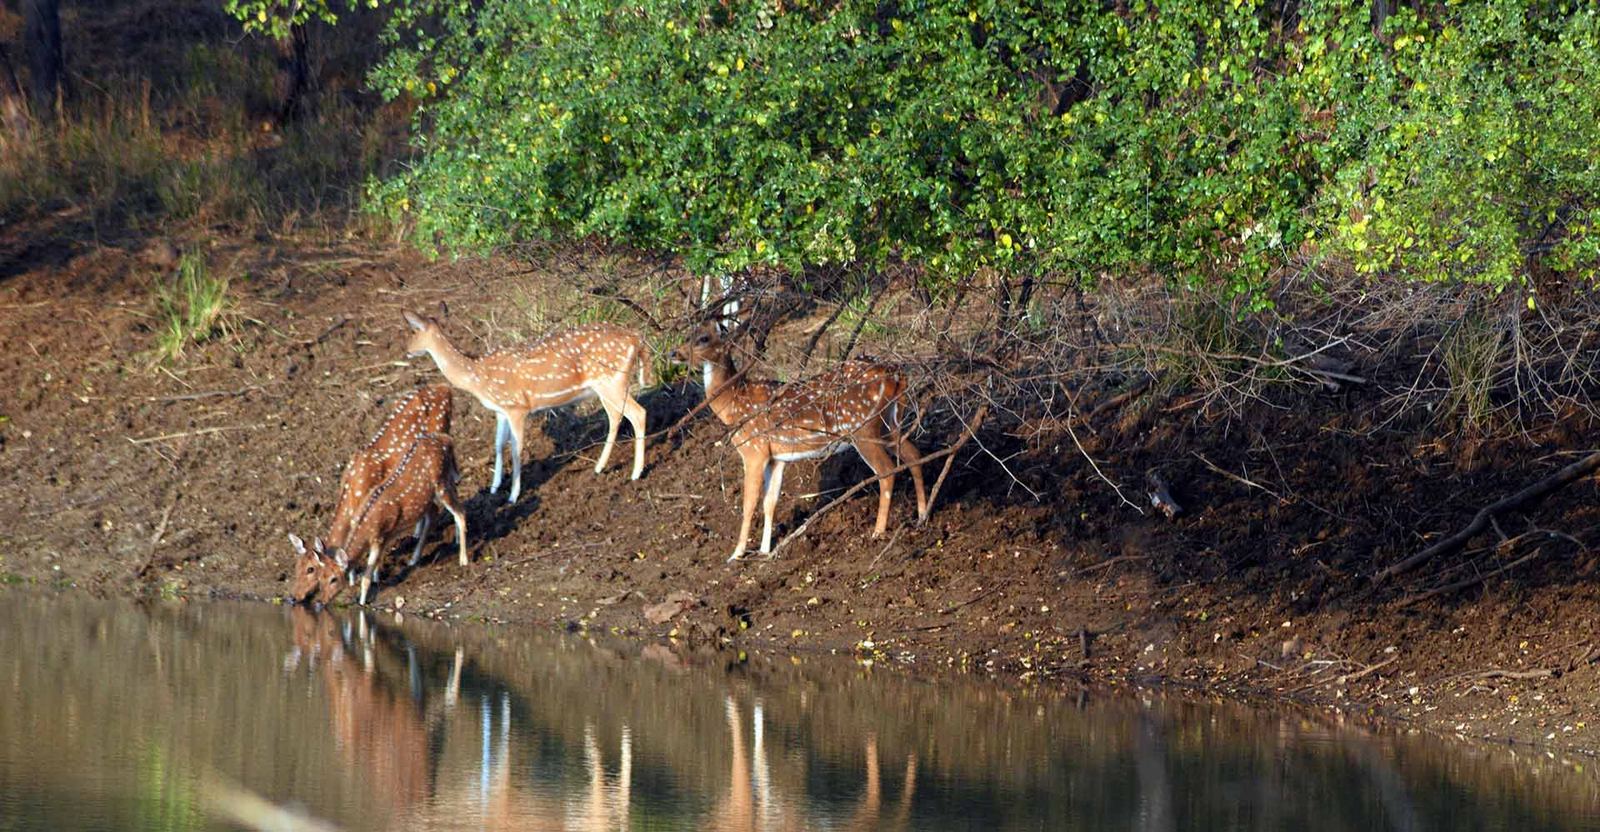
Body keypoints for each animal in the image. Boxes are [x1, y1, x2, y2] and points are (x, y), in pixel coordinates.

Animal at [290, 385, 454, 602]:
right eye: (297, 567)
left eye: (311, 569)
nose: (295, 596)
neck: (351, 490)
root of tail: (445, 389)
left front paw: (367, 577)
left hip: (441, 433)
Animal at [402, 303, 650, 504]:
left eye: (414, 331)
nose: (407, 351)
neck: (478, 377)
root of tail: (637, 338)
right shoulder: (501, 410)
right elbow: (498, 445)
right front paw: (494, 487)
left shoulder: (517, 407)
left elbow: (516, 450)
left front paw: (513, 495)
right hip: (607, 387)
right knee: (616, 417)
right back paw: (599, 467)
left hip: (611, 382)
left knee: (638, 414)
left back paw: (636, 473)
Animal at [671, 323, 928, 561]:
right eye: (686, 334)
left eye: (703, 338)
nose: (673, 352)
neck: (734, 404)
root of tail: (896, 373)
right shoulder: (777, 457)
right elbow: (770, 501)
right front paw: (765, 550)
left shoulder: (754, 450)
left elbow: (749, 502)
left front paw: (737, 554)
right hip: (890, 423)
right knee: (913, 454)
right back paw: (922, 514)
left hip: (863, 426)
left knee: (886, 470)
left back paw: (878, 532)